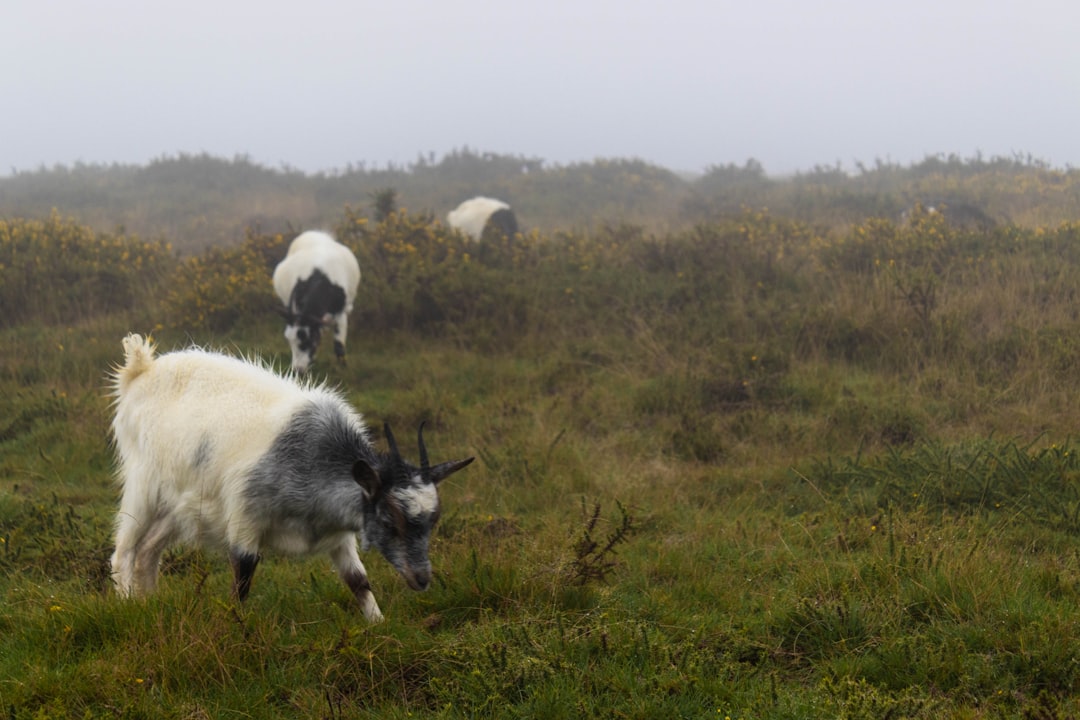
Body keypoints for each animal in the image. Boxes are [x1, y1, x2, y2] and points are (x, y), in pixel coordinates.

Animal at [108, 334, 473, 621]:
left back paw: (151, 602)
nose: (422, 579)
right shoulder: (245, 518)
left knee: (148, 550)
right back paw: (128, 604)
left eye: (433, 520)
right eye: (388, 519)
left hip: (180, 506)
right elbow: (242, 578)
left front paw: (378, 623)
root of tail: (141, 369)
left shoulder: (339, 534)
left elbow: (358, 580)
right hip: (143, 486)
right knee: (124, 550)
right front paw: (237, 627)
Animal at [272, 231, 360, 375]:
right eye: (289, 341)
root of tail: (311, 233)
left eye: (306, 340)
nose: (297, 371)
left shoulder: (341, 313)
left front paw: (343, 368)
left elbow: (339, 345)